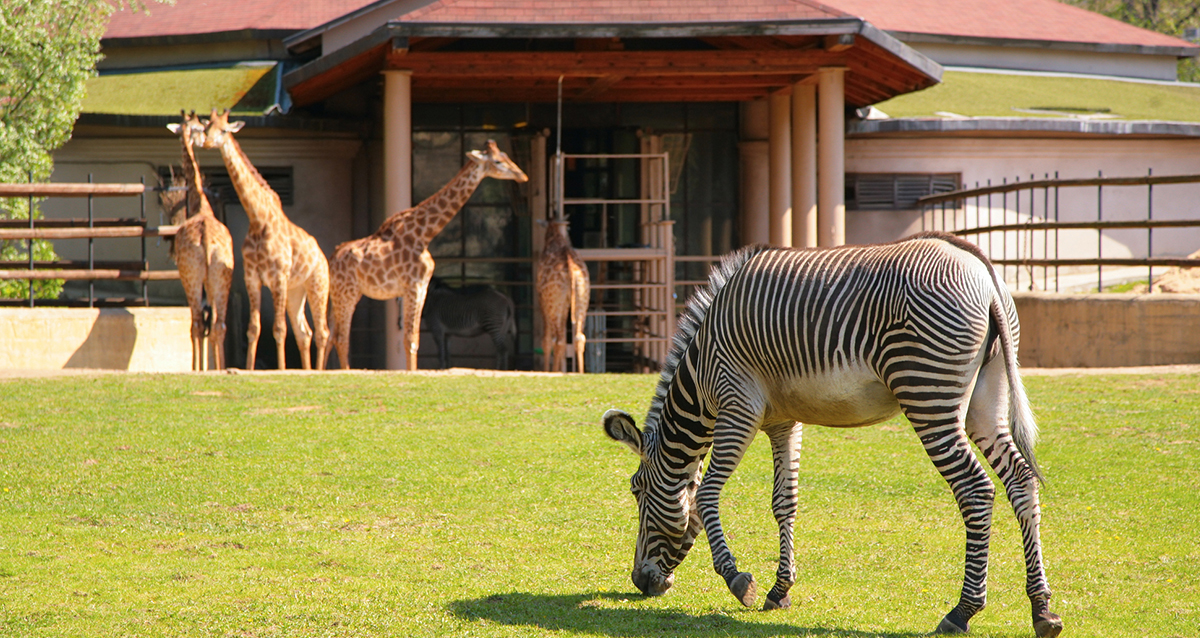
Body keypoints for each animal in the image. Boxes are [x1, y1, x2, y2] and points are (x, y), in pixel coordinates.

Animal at [166, 109, 236, 369]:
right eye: (201, 127)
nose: (204, 141)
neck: (200, 206)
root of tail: (205, 240)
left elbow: (197, 323)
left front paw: (198, 367)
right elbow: (212, 324)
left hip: (192, 277)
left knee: (196, 322)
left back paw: (197, 369)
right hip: (222, 277)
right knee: (218, 324)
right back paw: (221, 368)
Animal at [198, 108, 331, 369]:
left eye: (224, 130)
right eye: (207, 127)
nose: (207, 143)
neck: (258, 219)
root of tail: (322, 257)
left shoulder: (278, 276)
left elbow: (278, 329)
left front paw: (281, 369)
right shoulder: (253, 277)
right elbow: (254, 328)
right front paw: (249, 368)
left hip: (318, 284)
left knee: (322, 332)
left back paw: (319, 371)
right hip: (296, 291)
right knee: (305, 331)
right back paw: (307, 370)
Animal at [324, 139, 525, 369]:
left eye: (506, 156)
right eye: (498, 161)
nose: (522, 175)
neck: (423, 234)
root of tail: (331, 259)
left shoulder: (420, 288)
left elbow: (414, 339)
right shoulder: (414, 286)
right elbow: (410, 339)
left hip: (341, 293)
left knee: (329, 334)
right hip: (347, 293)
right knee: (340, 337)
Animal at [537, 218, 588, 371]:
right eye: (569, 229)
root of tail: (570, 267)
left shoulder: (542, 302)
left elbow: (547, 340)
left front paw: (547, 370)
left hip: (554, 304)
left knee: (558, 340)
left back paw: (554, 372)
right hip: (582, 299)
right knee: (578, 338)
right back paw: (581, 373)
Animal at [604, 232, 1065, 638]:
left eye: (635, 490)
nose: (640, 582)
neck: (700, 374)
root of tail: (981, 270)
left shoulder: (737, 405)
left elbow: (706, 493)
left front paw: (738, 580)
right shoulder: (782, 420)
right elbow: (784, 502)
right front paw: (779, 590)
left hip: (927, 392)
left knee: (975, 490)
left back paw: (962, 611)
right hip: (987, 398)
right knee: (1021, 481)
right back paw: (1041, 609)